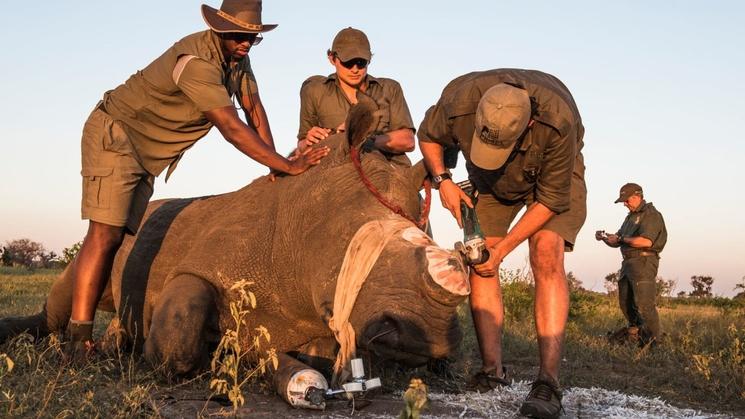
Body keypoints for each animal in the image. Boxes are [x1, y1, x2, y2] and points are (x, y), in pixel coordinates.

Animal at [0, 96, 470, 380]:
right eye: (350, 246)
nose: (430, 335)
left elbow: (318, 348)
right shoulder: (201, 263)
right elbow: (176, 332)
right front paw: (208, 351)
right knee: (90, 257)